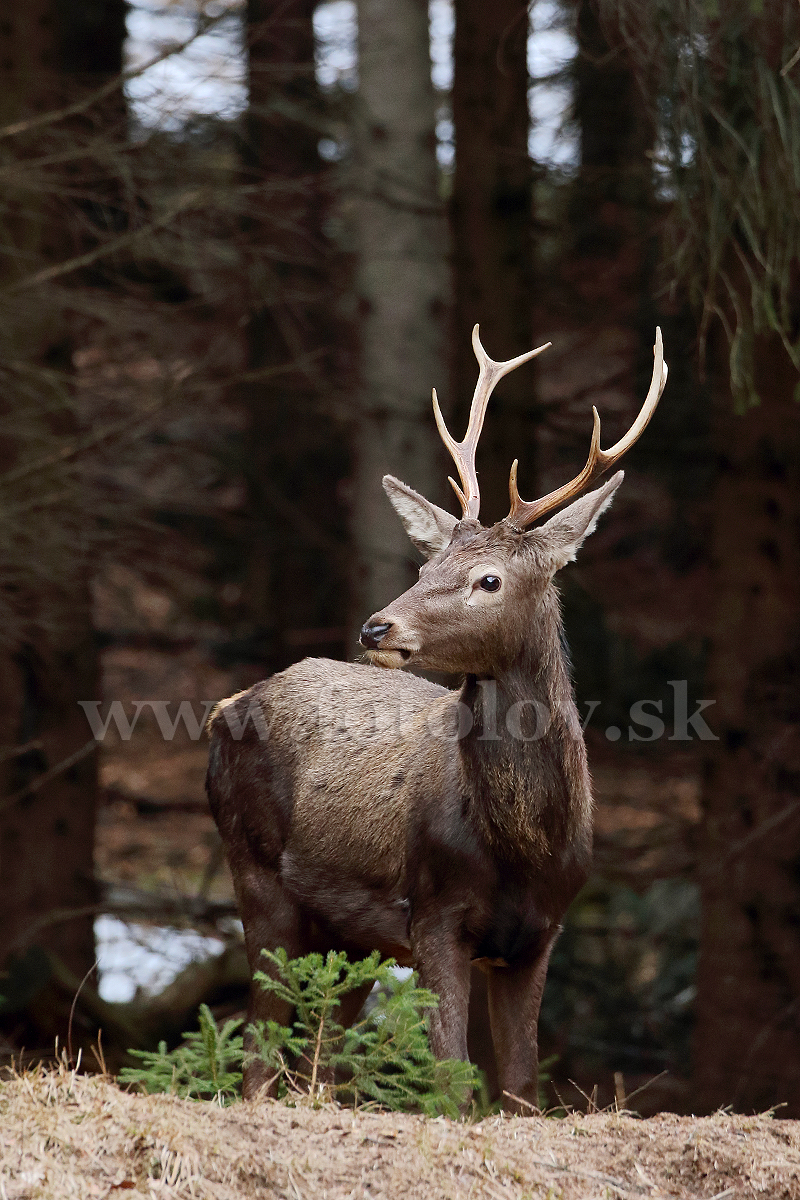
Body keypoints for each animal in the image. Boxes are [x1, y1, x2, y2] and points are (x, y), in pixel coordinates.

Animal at [206, 324, 671, 1108]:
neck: (524, 847)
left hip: (345, 933)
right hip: (256, 871)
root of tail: (225, 707)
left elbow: (520, 1088)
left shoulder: (540, 935)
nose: (376, 626)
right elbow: (452, 1083)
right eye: (425, 569)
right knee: (259, 1055)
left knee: (313, 1060)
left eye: (489, 580)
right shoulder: (432, 914)